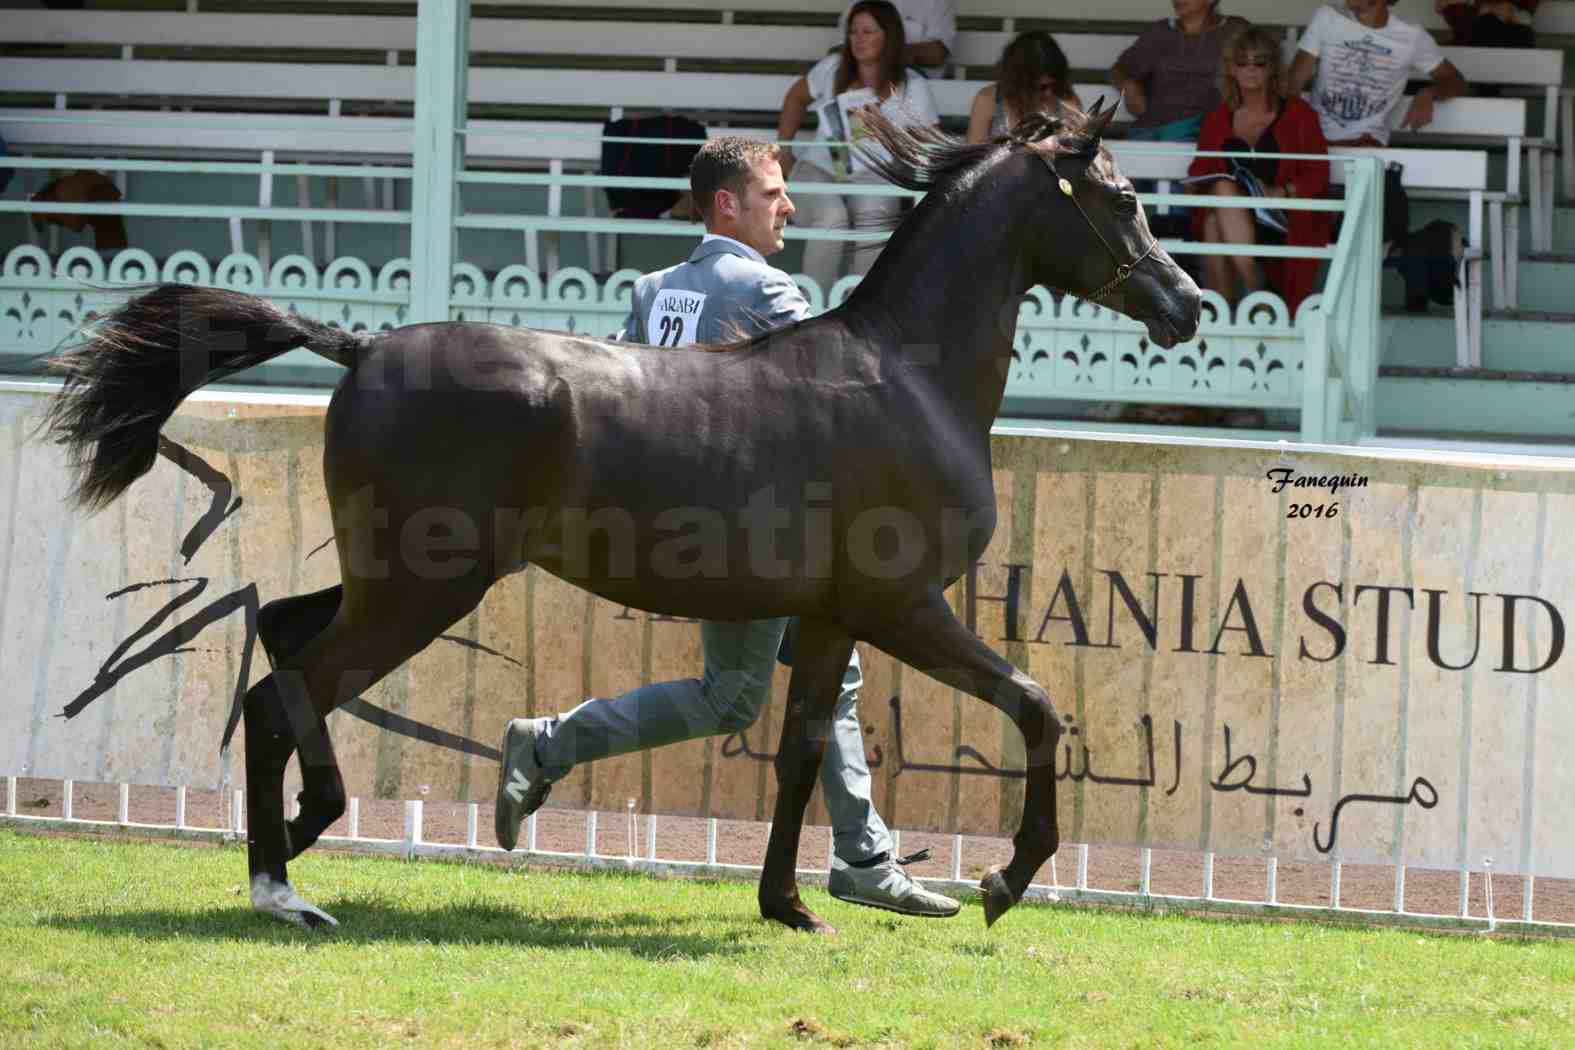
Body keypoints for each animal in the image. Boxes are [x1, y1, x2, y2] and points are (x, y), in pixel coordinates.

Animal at [43, 102, 1197, 931]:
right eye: (1122, 197)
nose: (1185, 306)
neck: (903, 379)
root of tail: (362, 346)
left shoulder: (831, 618)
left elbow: (801, 753)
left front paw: (787, 906)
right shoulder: (905, 605)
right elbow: (1036, 706)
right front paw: (1005, 881)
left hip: (393, 578)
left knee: (281, 637)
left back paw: (297, 839)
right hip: (423, 586)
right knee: (287, 691)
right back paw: (286, 884)